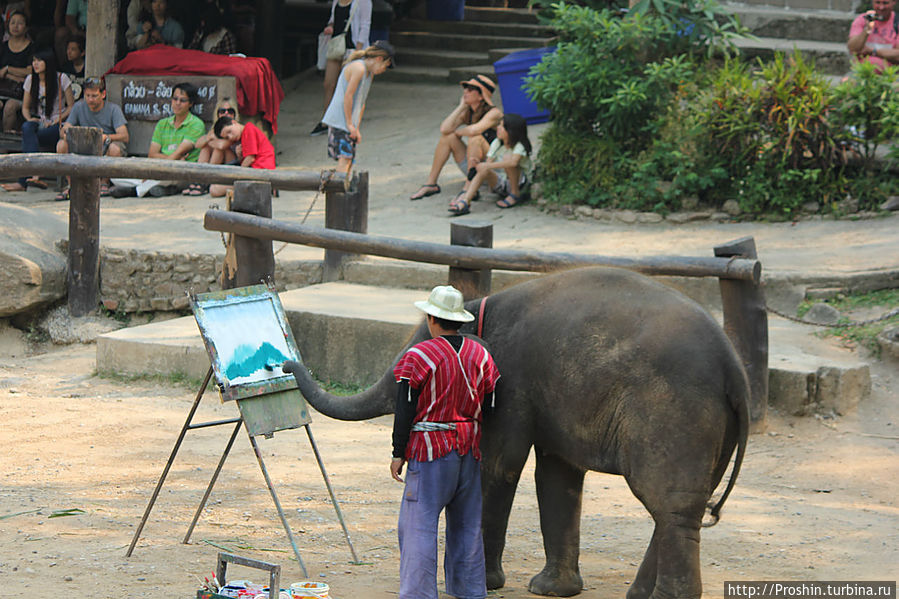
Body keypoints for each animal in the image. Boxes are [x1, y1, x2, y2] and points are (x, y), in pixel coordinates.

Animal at [284, 268, 748, 599]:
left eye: (411, 357)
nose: (285, 363)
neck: (481, 307)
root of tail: (734, 367)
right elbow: (557, 476)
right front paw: (552, 591)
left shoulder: (511, 382)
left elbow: (498, 465)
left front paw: (479, 586)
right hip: (711, 427)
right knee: (678, 506)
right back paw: (637, 595)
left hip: (676, 412)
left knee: (670, 504)